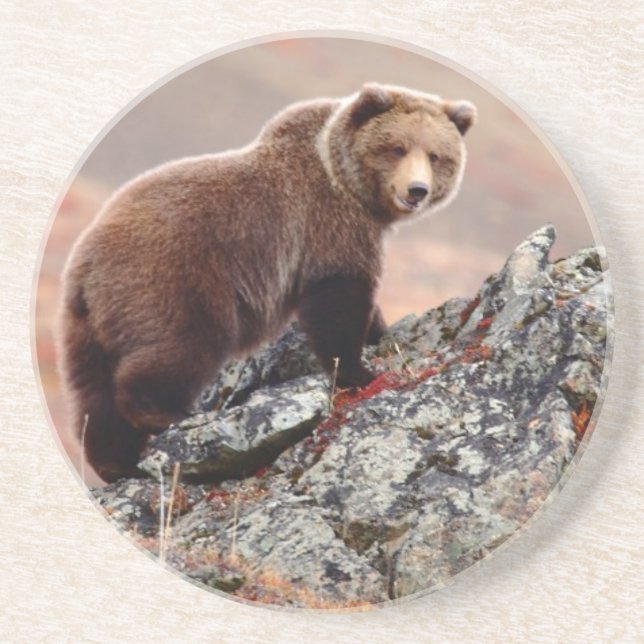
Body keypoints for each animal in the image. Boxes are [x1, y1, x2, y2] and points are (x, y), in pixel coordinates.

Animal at [58, 83, 476, 482]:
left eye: (435, 155)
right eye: (396, 148)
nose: (416, 190)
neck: (349, 185)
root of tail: (85, 264)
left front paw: (378, 333)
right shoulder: (327, 224)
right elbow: (337, 300)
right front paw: (362, 371)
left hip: (86, 325)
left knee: (93, 392)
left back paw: (114, 462)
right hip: (172, 280)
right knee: (183, 344)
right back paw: (164, 416)